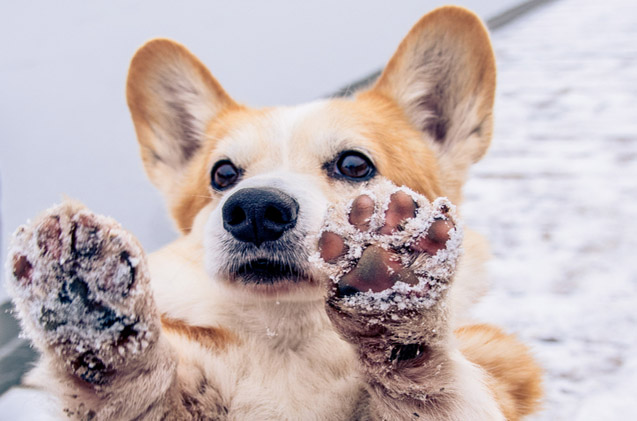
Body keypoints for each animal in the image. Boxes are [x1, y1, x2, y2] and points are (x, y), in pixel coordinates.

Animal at [4, 6, 540, 420]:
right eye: (222, 174)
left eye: (354, 164)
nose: (256, 209)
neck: (288, 340)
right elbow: (137, 392)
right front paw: (89, 302)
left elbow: (430, 383)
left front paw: (392, 289)